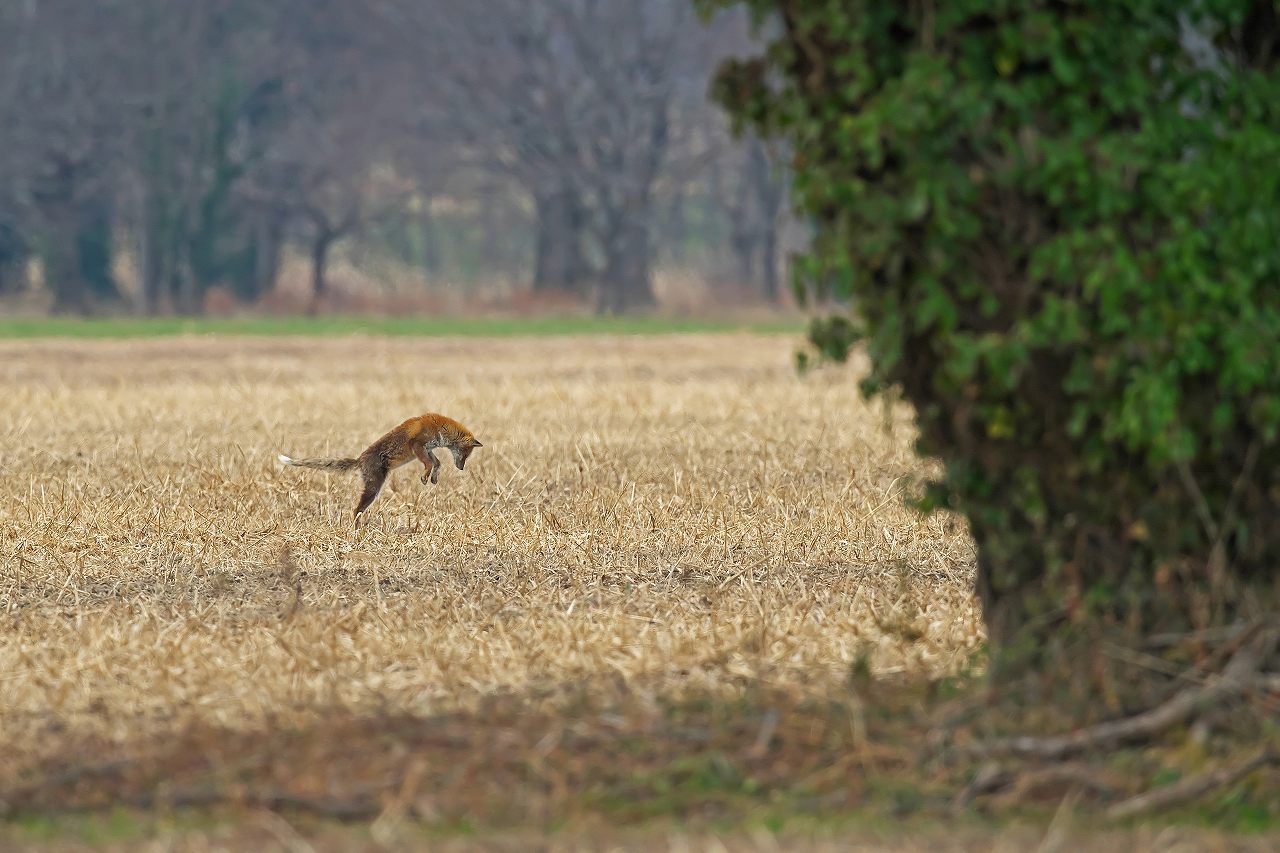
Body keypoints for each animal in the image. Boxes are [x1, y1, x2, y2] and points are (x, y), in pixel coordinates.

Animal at [277, 412, 481, 517]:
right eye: (466, 454)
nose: (462, 467)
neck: (439, 426)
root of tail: (359, 460)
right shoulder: (417, 445)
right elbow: (429, 464)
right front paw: (425, 476)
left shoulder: (427, 449)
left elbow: (436, 463)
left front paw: (434, 478)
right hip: (373, 488)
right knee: (356, 510)